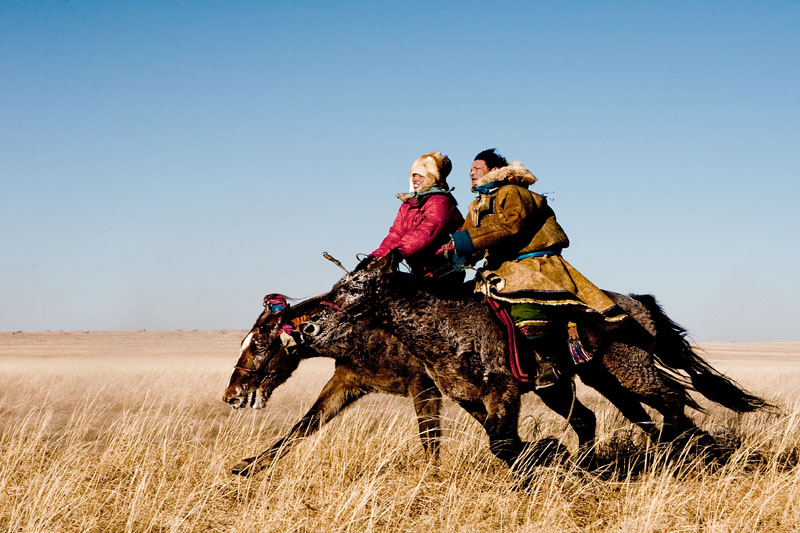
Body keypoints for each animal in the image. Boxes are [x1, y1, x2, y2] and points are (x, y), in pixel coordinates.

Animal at [222, 296, 440, 474]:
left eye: (260, 345)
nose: (231, 395)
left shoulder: (423, 385)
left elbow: (429, 438)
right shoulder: (345, 382)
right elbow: (304, 424)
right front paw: (249, 465)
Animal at [298, 251, 768, 472]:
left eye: (349, 288)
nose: (309, 329)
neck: (444, 321)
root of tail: (637, 302)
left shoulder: (502, 389)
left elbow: (502, 443)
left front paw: (542, 457)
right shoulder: (469, 398)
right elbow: (502, 441)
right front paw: (546, 455)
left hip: (630, 371)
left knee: (670, 400)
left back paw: (686, 450)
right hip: (587, 380)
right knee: (605, 418)